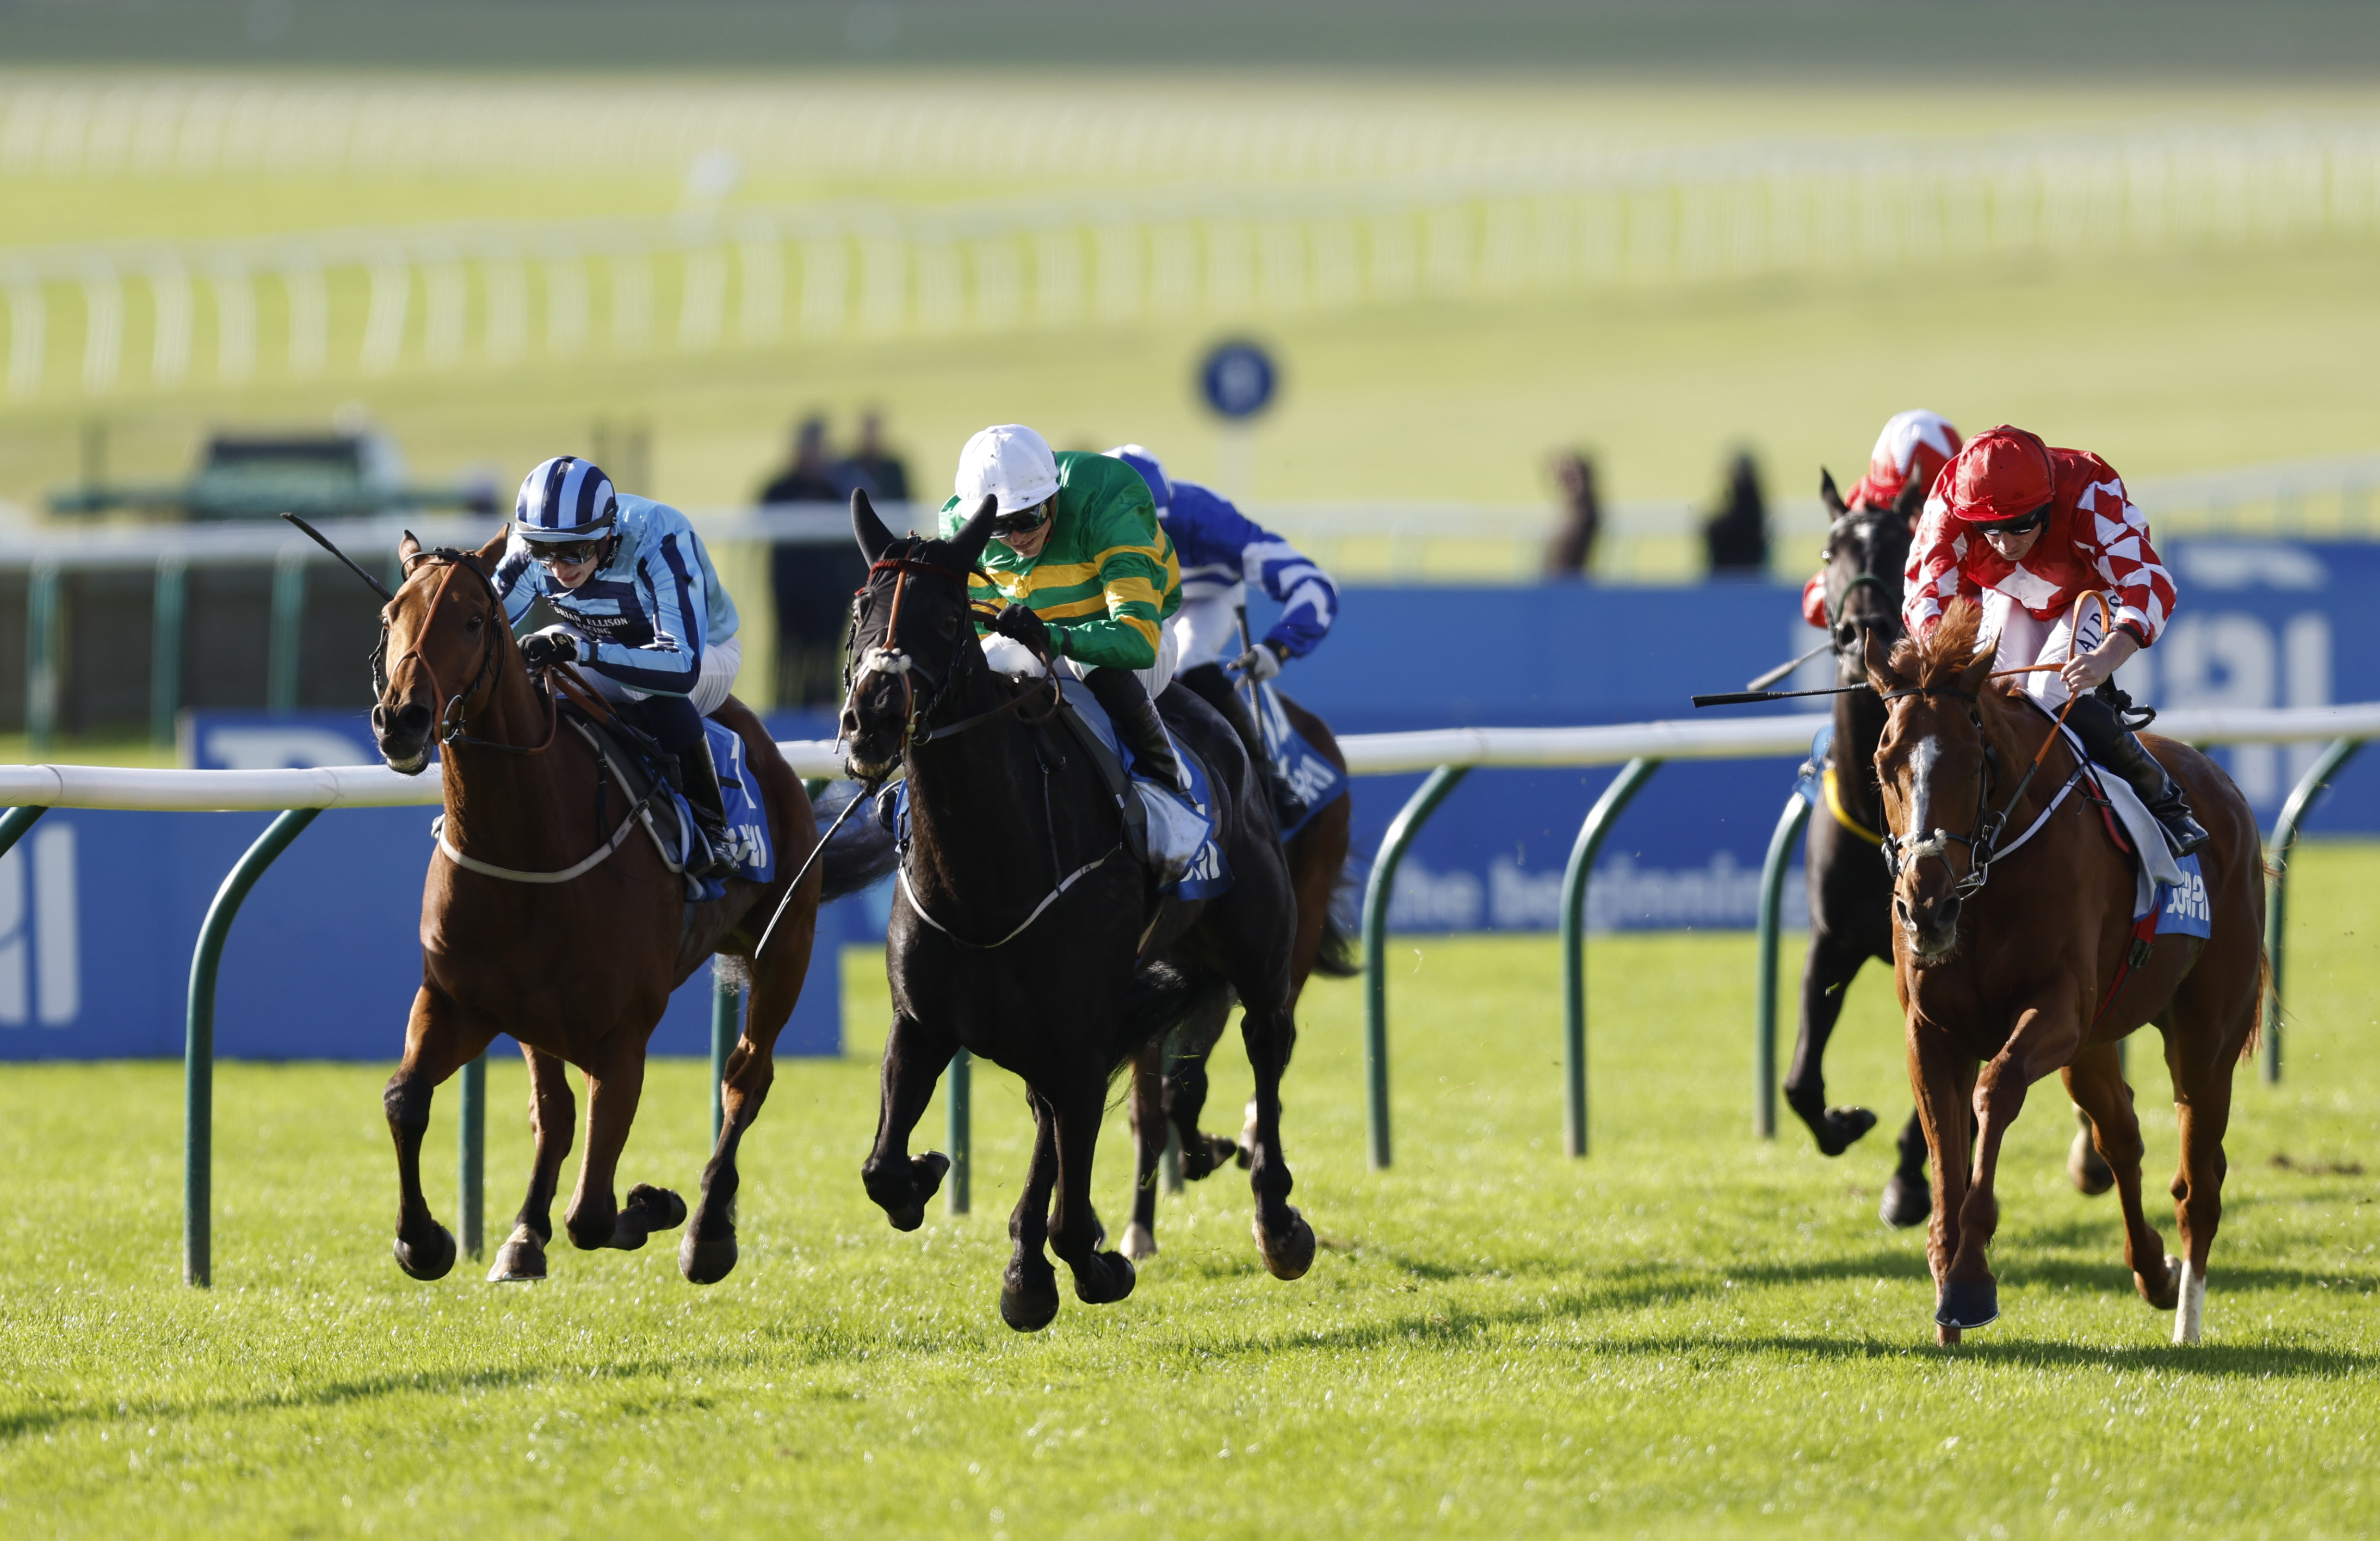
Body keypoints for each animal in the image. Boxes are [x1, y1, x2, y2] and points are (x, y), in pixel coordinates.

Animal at [366, 530, 890, 1284]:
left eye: (471, 619)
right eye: (392, 616)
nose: (400, 720)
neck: (528, 840)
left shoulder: (623, 1036)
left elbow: (591, 1213)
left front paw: (653, 1204)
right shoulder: (462, 1001)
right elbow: (407, 1099)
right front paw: (425, 1239)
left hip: (786, 943)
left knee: (745, 1078)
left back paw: (707, 1232)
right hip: (538, 1016)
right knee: (555, 1113)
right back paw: (524, 1234)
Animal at [842, 490, 1323, 1322]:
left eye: (948, 616)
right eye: (859, 606)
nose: (870, 715)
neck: (981, 883)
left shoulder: (1078, 1029)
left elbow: (1073, 1213)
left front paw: (1095, 1264)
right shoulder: (924, 1023)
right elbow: (882, 1169)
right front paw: (935, 1183)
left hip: (1258, 947)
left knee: (1266, 1045)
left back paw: (1277, 1224)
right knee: (1058, 1115)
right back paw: (1028, 1261)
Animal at [1780, 473, 2113, 1227]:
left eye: (1898, 543)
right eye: (1829, 550)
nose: (1860, 630)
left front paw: (1909, 1180)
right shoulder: (1833, 940)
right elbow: (1800, 1078)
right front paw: (1843, 1122)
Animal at [1866, 602, 2256, 1351]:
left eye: (1975, 761)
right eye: (1883, 762)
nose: (1924, 905)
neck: (1985, 885)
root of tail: (2221, 784)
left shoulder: (2055, 1008)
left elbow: (1995, 1091)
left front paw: (1968, 1282)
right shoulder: (1931, 1031)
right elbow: (1945, 1154)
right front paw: (1945, 1296)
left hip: (2205, 1032)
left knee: (2199, 1180)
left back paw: (2186, 1319)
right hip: (2094, 1042)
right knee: (2121, 1135)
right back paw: (2153, 1272)